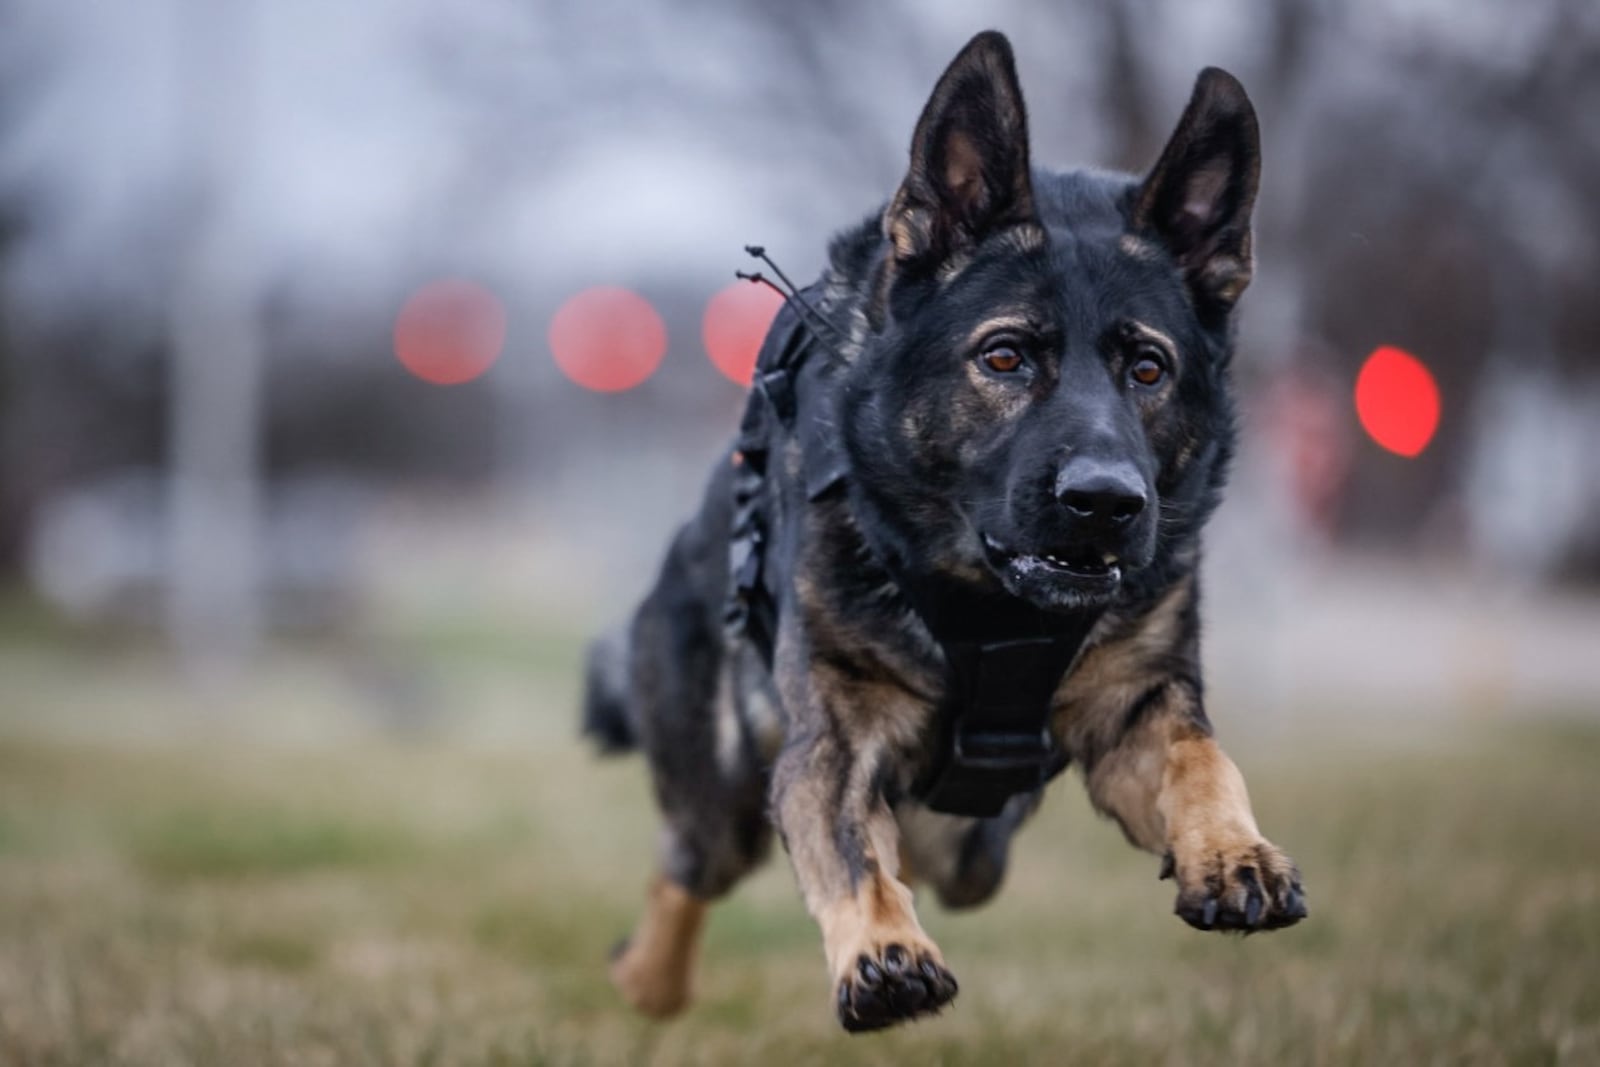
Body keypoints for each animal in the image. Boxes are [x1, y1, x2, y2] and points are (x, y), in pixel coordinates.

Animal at [582, 29, 1305, 1036]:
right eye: (1004, 357)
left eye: (1148, 369)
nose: (1106, 502)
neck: (997, 612)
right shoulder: (833, 744)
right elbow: (854, 854)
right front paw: (884, 948)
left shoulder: (1138, 709)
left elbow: (1204, 759)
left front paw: (1235, 852)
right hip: (719, 800)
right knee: (689, 866)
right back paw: (646, 976)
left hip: (966, 844)